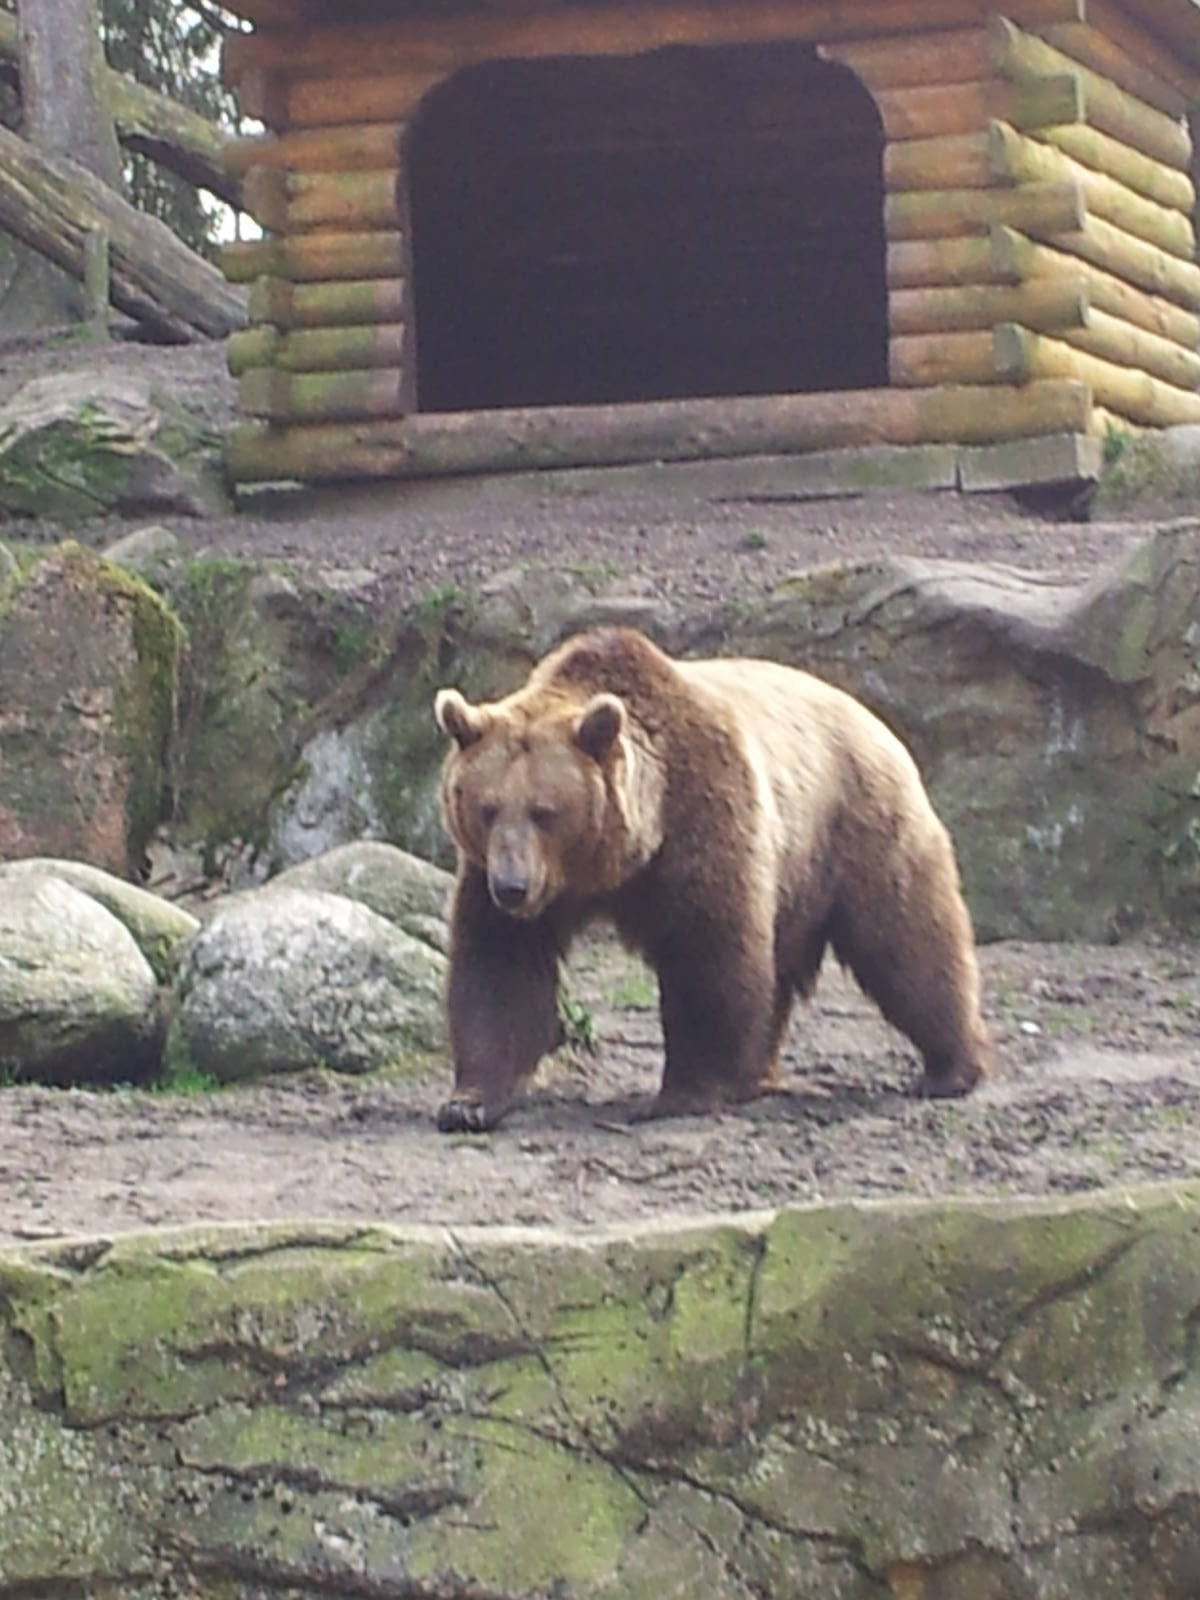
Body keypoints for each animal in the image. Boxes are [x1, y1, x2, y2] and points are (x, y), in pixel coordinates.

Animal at [433, 625, 989, 1133]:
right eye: (486, 808)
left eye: (545, 812)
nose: (512, 887)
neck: (614, 858)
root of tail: (870, 716)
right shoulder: (510, 884)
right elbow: (500, 968)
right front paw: (469, 1102)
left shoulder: (701, 819)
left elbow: (708, 954)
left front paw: (684, 1092)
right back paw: (758, 1073)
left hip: (852, 825)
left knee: (905, 938)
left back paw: (950, 1067)